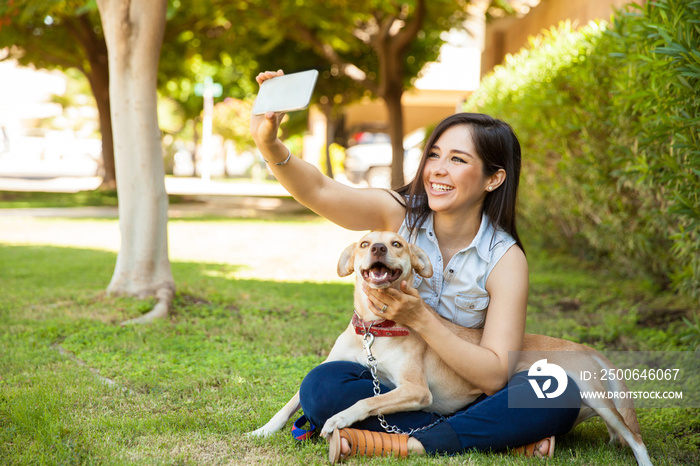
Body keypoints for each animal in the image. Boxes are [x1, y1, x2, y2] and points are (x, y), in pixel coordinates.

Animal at [249, 231, 652, 464]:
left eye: (396, 244)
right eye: (365, 244)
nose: (377, 247)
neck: (376, 330)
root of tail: (587, 348)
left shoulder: (414, 389)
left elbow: (365, 400)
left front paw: (339, 419)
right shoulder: (332, 364)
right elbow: (292, 401)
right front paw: (263, 431)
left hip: (596, 397)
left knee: (636, 438)